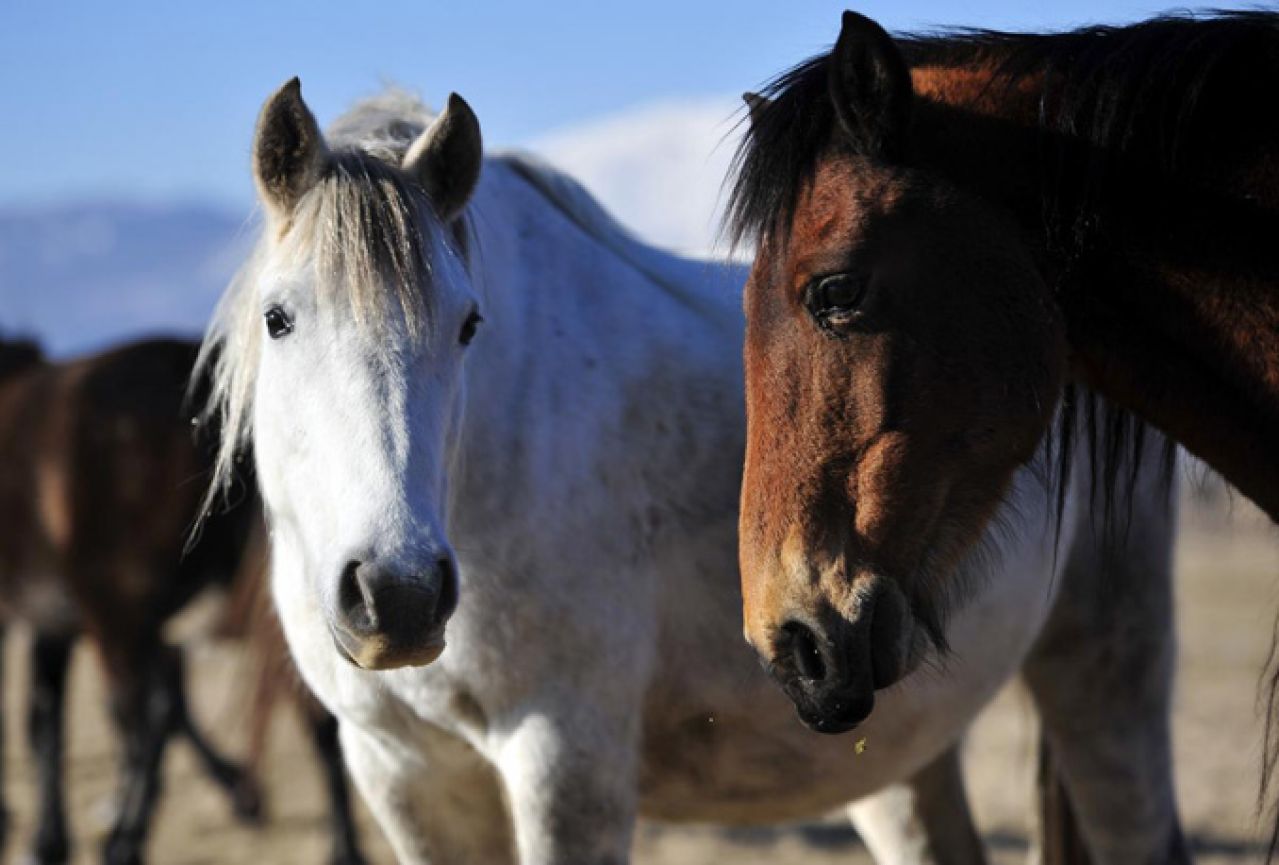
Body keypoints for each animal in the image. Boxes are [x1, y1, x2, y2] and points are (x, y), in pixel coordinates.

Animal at [0, 335, 365, 865]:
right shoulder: (63, 624)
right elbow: (55, 717)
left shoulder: (78, 619)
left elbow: (56, 720)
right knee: (313, 712)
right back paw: (343, 847)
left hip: (115, 613)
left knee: (136, 718)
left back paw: (125, 839)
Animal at [202, 77, 1176, 859]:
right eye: (279, 318)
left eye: (469, 324)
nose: (397, 593)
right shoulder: (399, 773)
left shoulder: (565, 758)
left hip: (1108, 666)